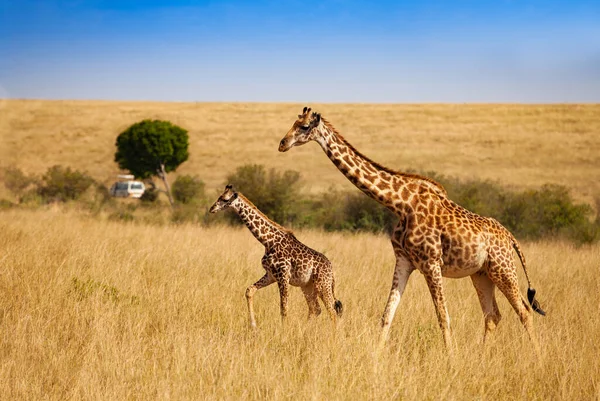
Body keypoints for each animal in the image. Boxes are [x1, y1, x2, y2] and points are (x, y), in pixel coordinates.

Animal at [210, 186, 342, 326]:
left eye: (224, 199)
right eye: (219, 197)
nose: (212, 208)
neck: (268, 241)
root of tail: (331, 270)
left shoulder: (283, 276)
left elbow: (284, 307)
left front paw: (283, 330)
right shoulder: (271, 275)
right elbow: (249, 291)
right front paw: (253, 325)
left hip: (323, 284)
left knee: (332, 311)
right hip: (307, 285)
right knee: (315, 309)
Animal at [278, 106, 544, 350]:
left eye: (304, 126)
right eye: (293, 122)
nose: (282, 143)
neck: (400, 204)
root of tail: (510, 238)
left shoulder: (431, 263)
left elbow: (443, 317)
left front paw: (452, 361)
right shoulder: (404, 261)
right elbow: (387, 316)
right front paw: (376, 358)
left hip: (503, 269)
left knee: (524, 311)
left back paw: (536, 358)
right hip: (481, 273)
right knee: (492, 315)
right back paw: (481, 356)